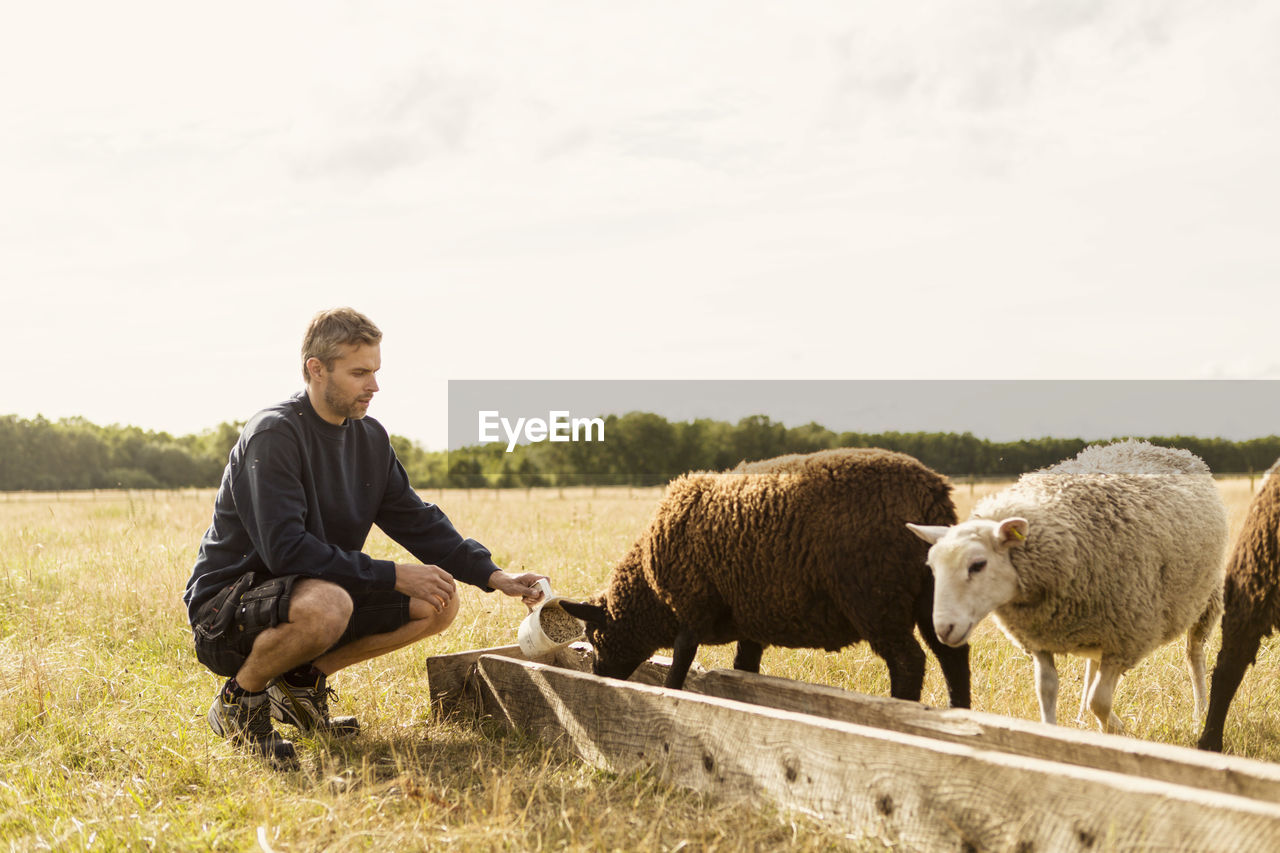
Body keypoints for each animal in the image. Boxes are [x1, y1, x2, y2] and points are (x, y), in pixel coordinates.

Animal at [560, 445, 967, 701]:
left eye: (594, 635)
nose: (597, 676)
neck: (649, 591)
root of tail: (932, 492)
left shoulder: (692, 608)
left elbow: (679, 668)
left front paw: (670, 695)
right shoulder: (749, 619)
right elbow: (744, 668)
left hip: (876, 598)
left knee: (909, 663)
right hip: (933, 592)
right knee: (953, 658)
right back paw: (957, 711)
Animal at [906, 438, 1223, 732]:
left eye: (977, 565)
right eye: (932, 567)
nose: (944, 629)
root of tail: (1167, 448)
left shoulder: (1125, 637)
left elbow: (1100, 701)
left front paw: (1116, 728)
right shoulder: (1040, 639)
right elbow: (1046, 689)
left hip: (1205, 596)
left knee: (1194, 653)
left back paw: (1200, 714)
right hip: (1097, 625)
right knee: (1092, 665)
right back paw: (1082, 718)